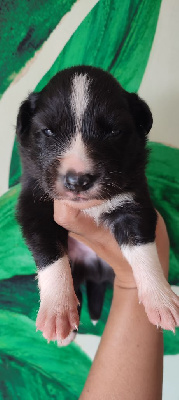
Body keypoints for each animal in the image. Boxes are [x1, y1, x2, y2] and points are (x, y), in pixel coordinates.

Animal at [16, 67, 178, 346]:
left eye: (112, 132)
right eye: (48, 132)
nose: (78, 180)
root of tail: (97, 274)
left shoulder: (133, 202)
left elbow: (144, 250)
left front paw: (161, 298)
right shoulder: (34, 205)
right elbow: (50, 255)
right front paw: (57, 310)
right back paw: (68, 330)